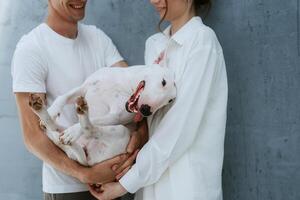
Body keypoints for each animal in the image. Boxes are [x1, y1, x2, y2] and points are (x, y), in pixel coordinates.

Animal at [28, 64, 176, 166]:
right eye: (163, 82)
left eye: (169, 101)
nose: (146, 111)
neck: (125, 83)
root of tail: (85, 157)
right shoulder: (83, 88)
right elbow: (63, 97)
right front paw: (53, 110)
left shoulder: (116, 116)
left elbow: (96, 120)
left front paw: (75, 131)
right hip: (62, 135)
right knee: (54, 129)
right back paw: (42, 111)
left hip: (122, 132)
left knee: (90, 129)